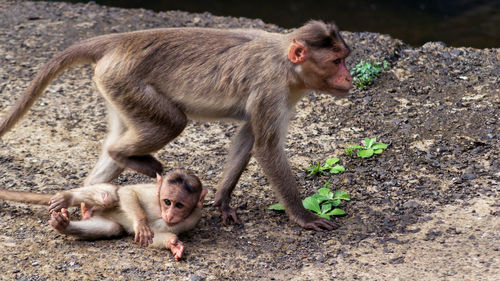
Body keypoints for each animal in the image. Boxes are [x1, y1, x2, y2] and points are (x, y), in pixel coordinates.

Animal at [0, 20, 352, 230]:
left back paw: (86, 198)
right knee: (170, 124)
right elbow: (266, 146)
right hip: (129, 84)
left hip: (114, 87)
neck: (287, 64)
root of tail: (118, 41)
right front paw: (303, 216)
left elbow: (248, 136)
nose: (348, 78)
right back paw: (128, 159)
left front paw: (222, 200)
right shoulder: (272, 89)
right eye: (336, 61)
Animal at [0, 167, 206, 260]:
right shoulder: (152, 195)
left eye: (179, 205)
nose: (169, 214)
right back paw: (70, 198)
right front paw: (141, 223)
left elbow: (154, 236)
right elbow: (127, 193)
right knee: (111, 195)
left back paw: (67, 224)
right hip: (102, 202)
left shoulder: (193, 218)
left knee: (113, 228)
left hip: (102, 218)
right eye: (167, 201)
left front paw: (174, 244)